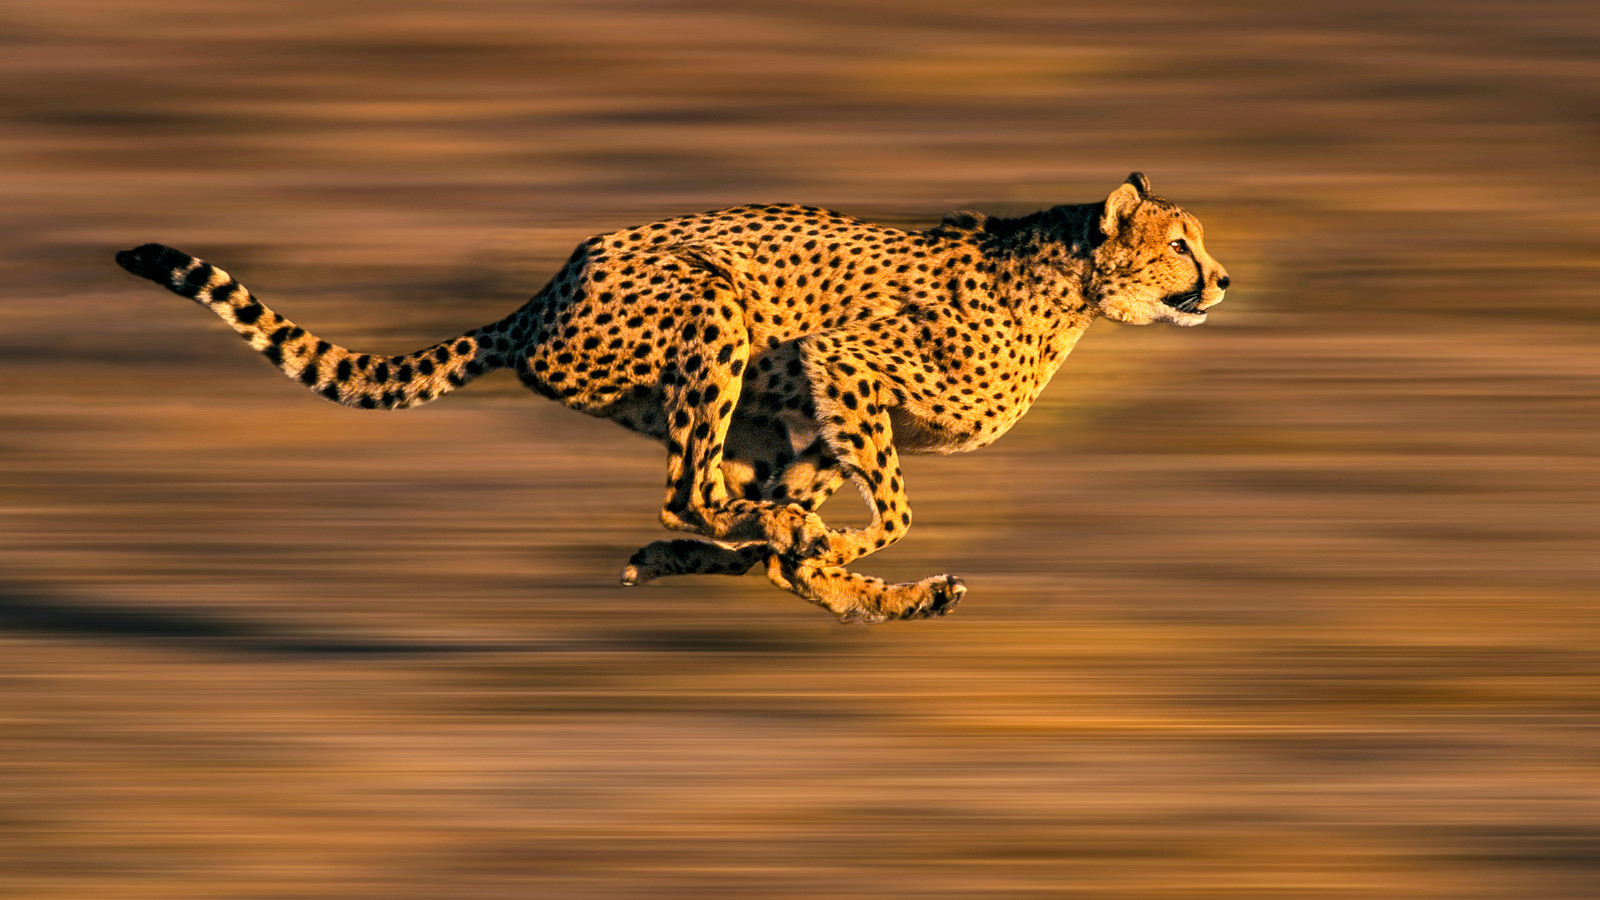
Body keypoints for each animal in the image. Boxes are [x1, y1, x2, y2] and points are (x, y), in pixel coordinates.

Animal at [115, 173, 1229, 624]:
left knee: (718, 511)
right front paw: (833, 546)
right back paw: (765, 547)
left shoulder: (814, 411)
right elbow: (891, 510)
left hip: (743, 403)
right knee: (690, 493)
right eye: (1180, 243)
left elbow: (812, 535)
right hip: (713, 310)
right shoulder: (840, 361)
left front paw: (832, 564)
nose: (1221, 281)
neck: (1073, 288)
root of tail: (546, 290)